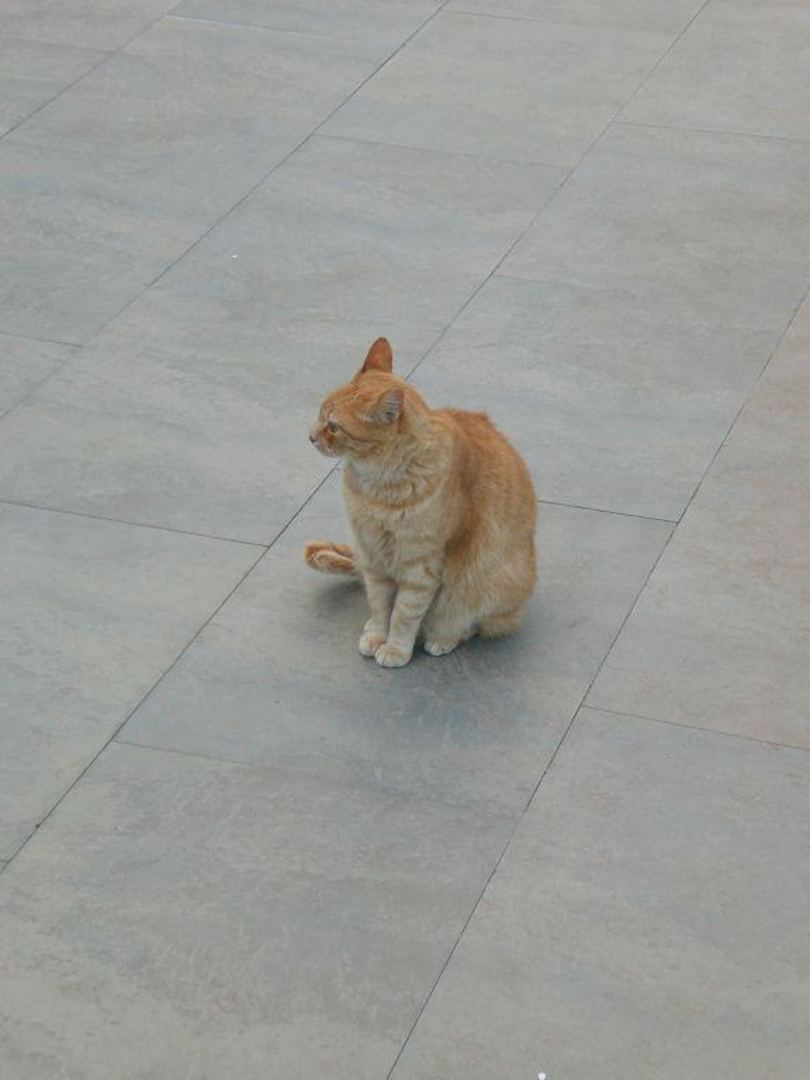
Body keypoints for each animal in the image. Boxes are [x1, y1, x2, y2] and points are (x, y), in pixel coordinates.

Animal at [304, 337, 536, 668]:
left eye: (334, 426)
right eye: (321, 412)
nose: (310, 437)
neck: (377, 487)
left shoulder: (420, 567)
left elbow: (403, 615)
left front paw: (396, 649)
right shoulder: (373, 555)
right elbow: (379, 606)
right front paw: (377, 635)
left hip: (484, 584)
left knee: (474, 623)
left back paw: (443, 637)